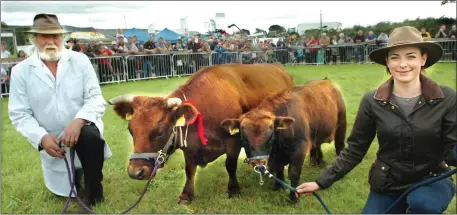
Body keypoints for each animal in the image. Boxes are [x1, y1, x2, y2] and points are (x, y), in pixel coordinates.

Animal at [108, 63, 292, 203]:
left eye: (160, 132)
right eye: (131, 130)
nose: (135, 172)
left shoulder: (233, 142)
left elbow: (230, 166)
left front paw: (233, 190)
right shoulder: (189, 147)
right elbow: (189, 171)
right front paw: (186, 195)